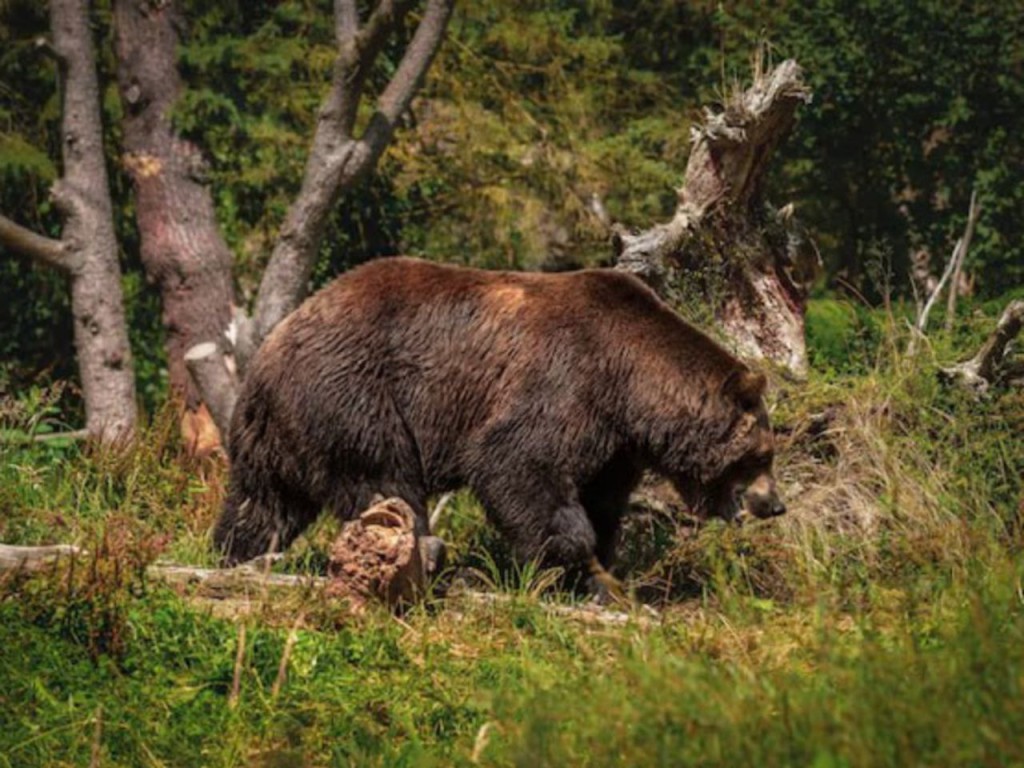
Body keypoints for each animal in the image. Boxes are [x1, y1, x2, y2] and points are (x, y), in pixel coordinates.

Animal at [214, 256, 782, 593]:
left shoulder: (615, 444)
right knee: (385, 482)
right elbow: (517, 463)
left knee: (262, 503)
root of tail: (270, 348)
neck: (630, 383)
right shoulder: (566, 381)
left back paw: (233, 553)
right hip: (354, 396)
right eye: (761, 455)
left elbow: (601, 501)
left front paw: (600, 576)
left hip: (278, 433)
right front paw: (562, 560)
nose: (774, 504)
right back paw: (428, 554)